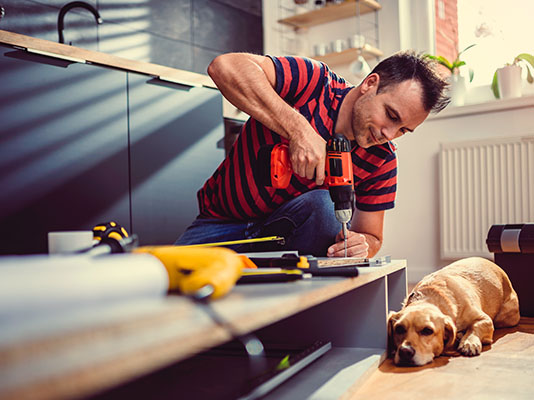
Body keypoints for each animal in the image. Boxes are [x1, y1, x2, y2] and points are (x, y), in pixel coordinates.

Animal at [388, 258, 520, 368]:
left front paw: (469, 343)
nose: (405, 351)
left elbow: (475, 326)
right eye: (399, 329)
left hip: (505, 317)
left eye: (427, 331)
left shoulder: (485, 319)